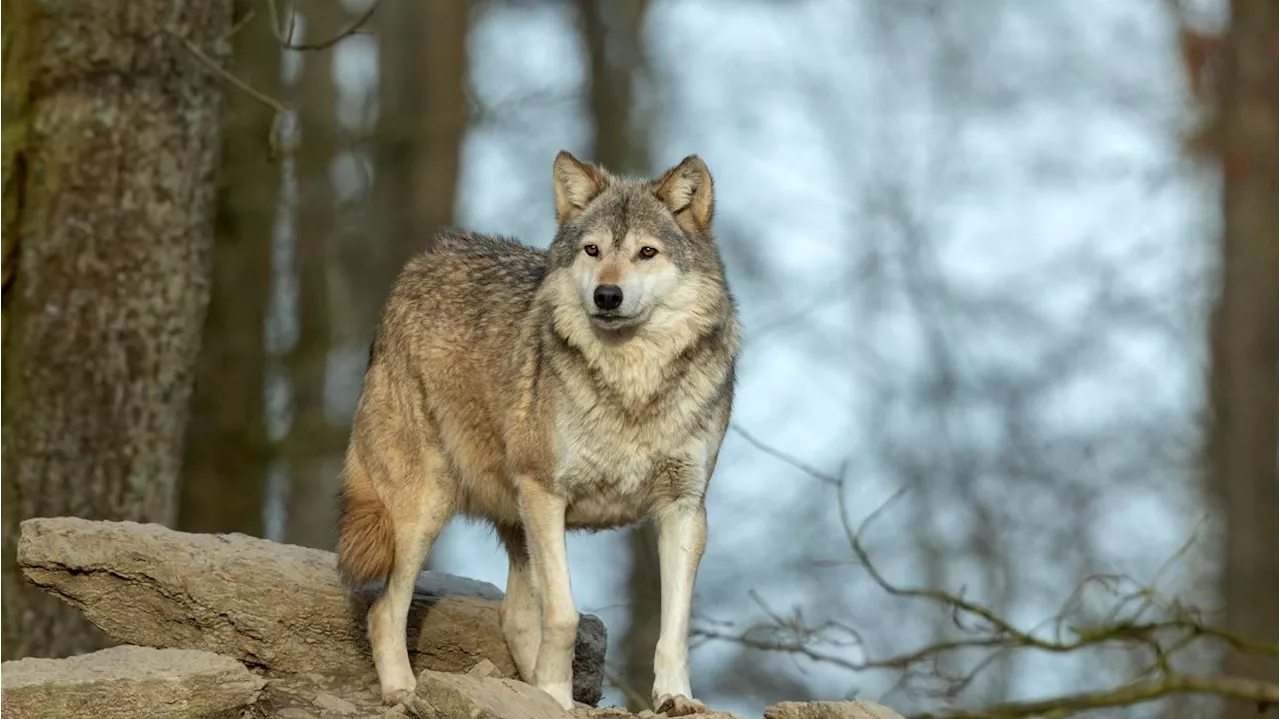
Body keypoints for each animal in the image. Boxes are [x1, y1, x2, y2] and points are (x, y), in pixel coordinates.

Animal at [335, 149, 747, 711]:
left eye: (646, 252)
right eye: (593, 249)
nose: (607, 295)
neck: (631, 387)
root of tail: (420, 262)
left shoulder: (684, 507)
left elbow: (674, 627)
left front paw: (676, 698)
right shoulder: (545, 493)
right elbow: (565, 615)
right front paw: (555, 694)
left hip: (511, 523)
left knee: (511, 617)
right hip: (426, 508)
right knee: (385, 611)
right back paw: (405, 690)